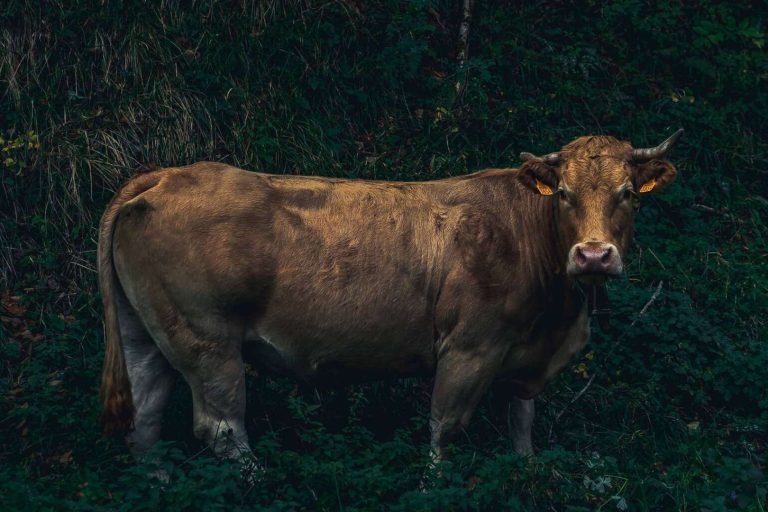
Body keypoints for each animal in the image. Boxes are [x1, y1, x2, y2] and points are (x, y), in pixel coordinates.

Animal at [99, 130, 682, 466]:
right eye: (563, 194)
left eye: (627, 193)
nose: (593, 255)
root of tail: (167, 174)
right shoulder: (470, 349)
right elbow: (445, 430)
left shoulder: (526, 358)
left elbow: (522, 428)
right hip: (208, 341)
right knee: (221, 428)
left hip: (147, 333)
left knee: (146, 418)